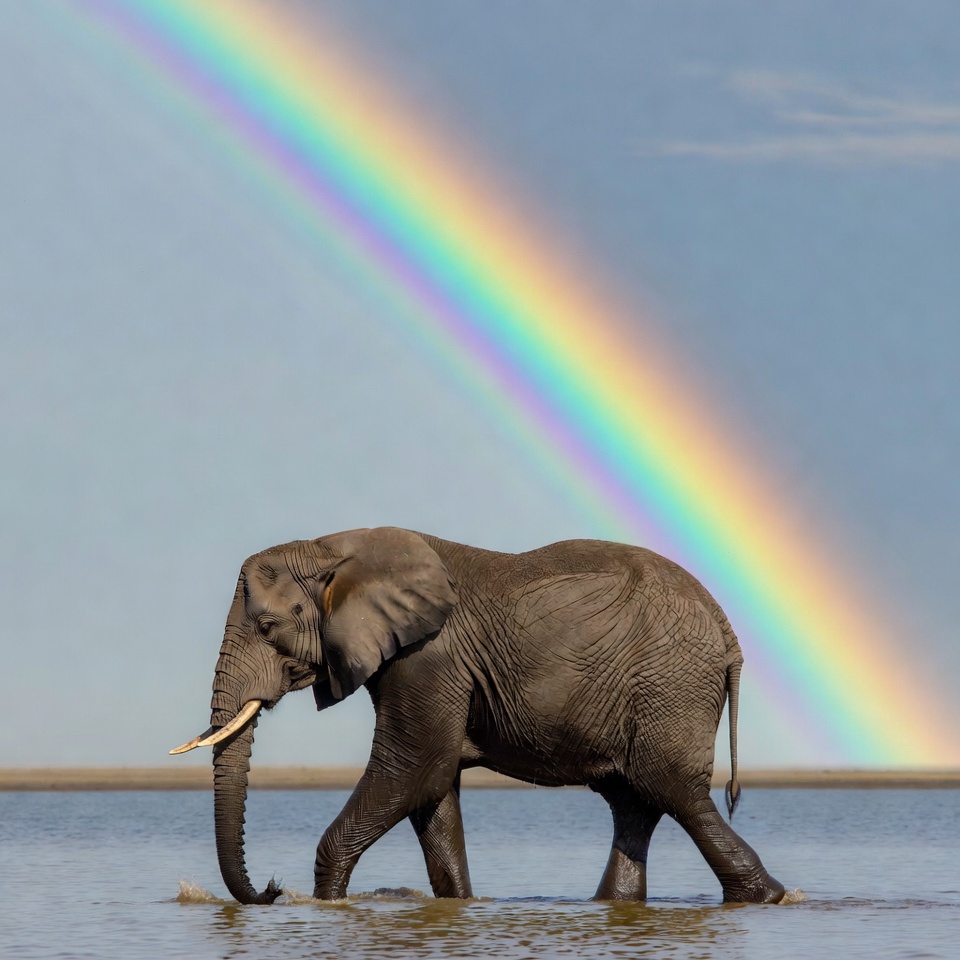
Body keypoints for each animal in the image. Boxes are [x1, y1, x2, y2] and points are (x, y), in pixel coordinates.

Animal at [172, 527, 784, 905]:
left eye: (268, 626)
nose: (272, 890)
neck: (334, 549)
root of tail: (726, 629)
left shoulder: (428, 659)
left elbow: (413, 772)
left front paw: (328, 903)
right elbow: (433, 792)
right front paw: (462, 905)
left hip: (671, 684)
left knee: (672, 790)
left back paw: (766, 898)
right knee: (634, 800)